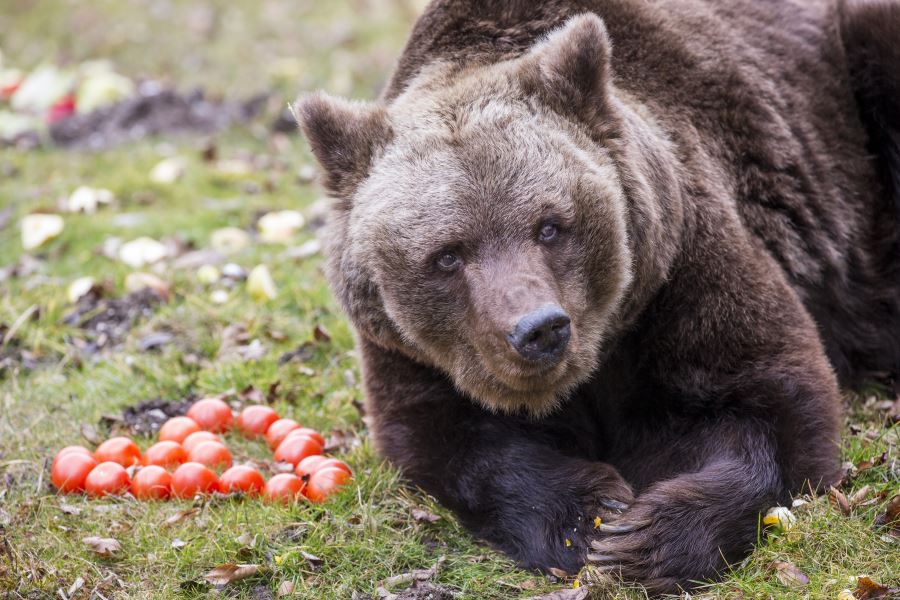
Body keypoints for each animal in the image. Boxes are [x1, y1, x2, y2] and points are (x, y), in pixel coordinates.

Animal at [294, 0, 900, 594]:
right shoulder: (408, 353)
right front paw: (586, 519)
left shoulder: (681, 269)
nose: (538, 329)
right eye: (447, 254)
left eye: (549, 226)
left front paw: (644, 541)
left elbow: (771, 401)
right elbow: (452, 442)